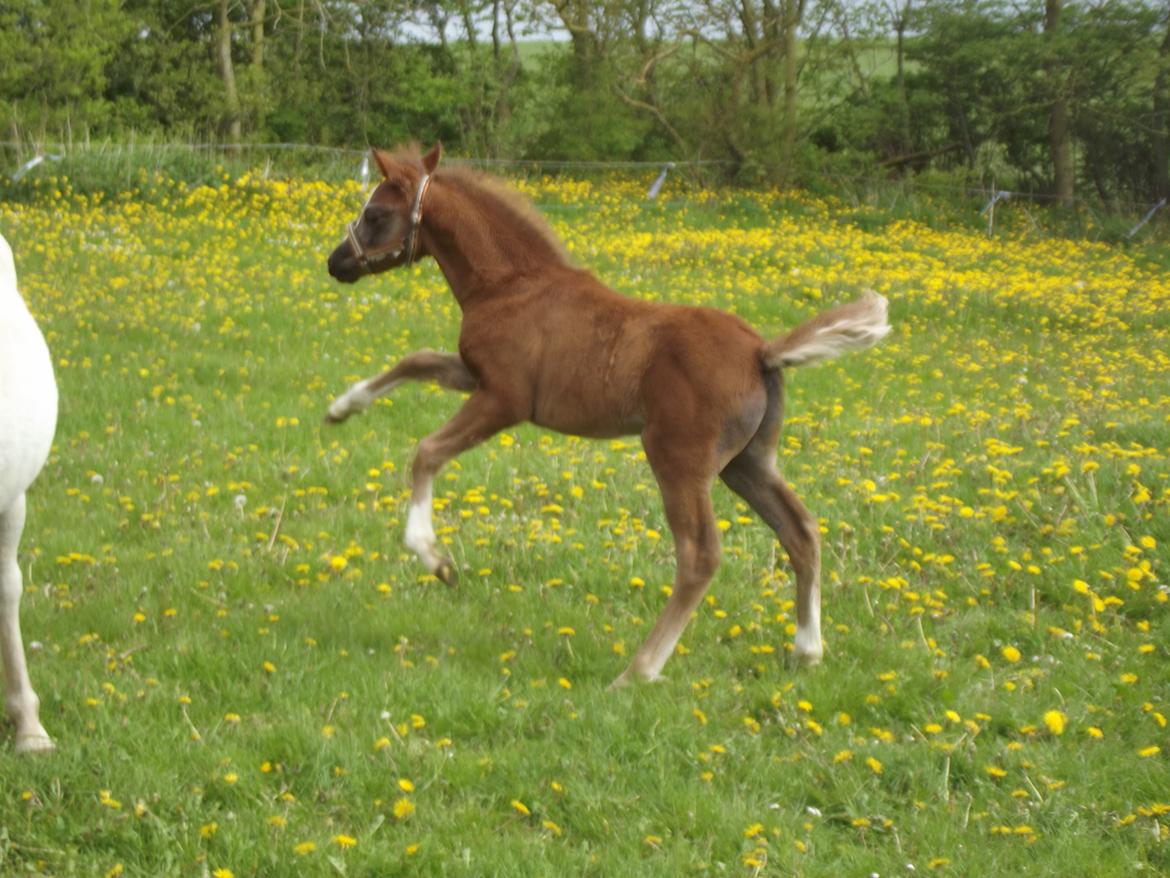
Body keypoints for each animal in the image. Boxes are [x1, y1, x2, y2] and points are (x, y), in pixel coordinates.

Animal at [325, 144, 890, 688]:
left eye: (375, 213)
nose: (336, 262)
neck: (512, 284)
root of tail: (762, 353)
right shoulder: (474, 375)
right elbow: (415, 359)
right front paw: (342, 407)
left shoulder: (504, 399)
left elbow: (427, 452)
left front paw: (435, 558)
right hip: (747, 462)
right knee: (801, 529)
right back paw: (806, 650)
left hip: (677, 459)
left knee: (701, 554)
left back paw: (639, 671)